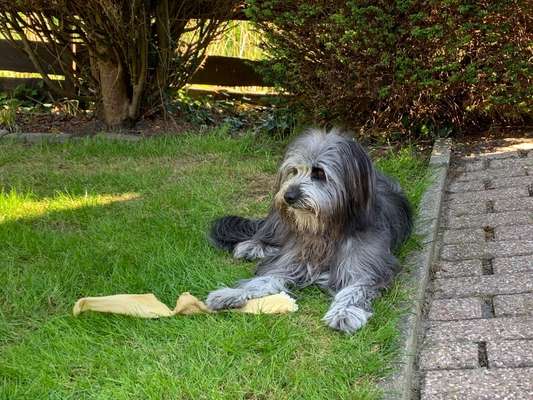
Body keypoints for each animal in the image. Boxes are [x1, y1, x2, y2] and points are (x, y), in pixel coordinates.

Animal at [206, 130, 410, 332]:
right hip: (279, 223)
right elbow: (262, 280)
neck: (327, 229)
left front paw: (344, 313)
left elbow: (355, 290)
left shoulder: (366, 269)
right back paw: (251, 247)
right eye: (294, 171)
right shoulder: (291, 260)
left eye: (319, 172)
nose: (288, 196)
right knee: (266, 236)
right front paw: (231, 293)